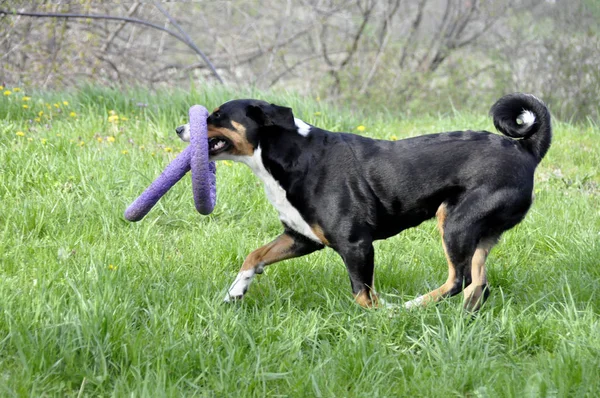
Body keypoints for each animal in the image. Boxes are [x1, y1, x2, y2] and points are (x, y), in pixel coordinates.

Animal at [175, 94, 552, 310]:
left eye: (217, 116)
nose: (180, 128)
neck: (293, 157)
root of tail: (526, 149)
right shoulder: (301, 237)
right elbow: (254, 256)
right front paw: (235, 292)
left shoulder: (356, 244)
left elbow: (362, 294)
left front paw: (373, 320)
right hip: (479, 236)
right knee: (478, 285)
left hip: (456, 223)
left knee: (458, 280)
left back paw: (411, 307)